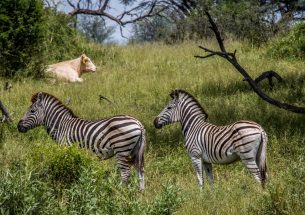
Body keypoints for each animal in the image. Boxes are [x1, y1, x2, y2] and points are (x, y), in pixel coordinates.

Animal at [18, 91, 146, 189]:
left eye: (32, 111)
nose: (18, 126)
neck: (61, 125)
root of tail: (138, 123)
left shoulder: (66, 147)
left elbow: (67, 168)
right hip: (136, 151)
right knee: (140, 172)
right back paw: (140, 195)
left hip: (121, 149)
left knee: (125, 174)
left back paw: (118, 193)